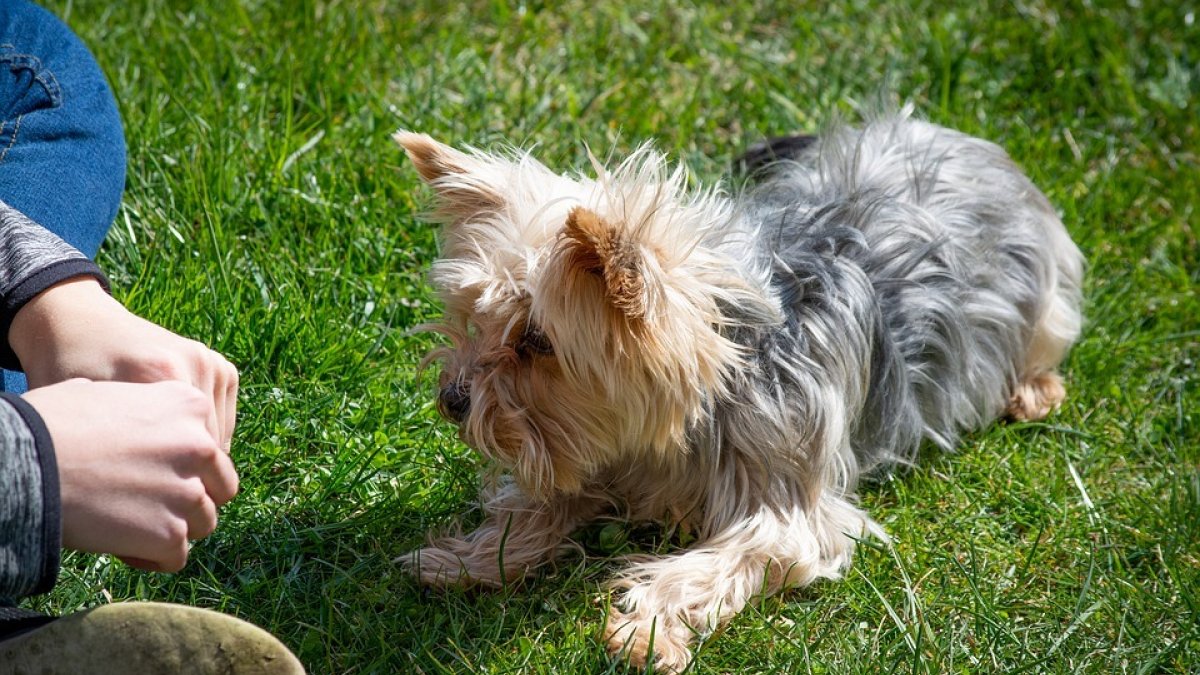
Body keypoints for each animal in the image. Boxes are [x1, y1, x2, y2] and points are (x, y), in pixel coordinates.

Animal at [396, 110, 1089, 667]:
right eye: (475, 317)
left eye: (537, 341)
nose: (452, 400)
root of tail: (956, 135)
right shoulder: (591, 452)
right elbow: (537, 506)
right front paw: (470, 559)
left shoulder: (783, 505)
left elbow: (713, 563)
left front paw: (646, 627)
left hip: (1046, 289)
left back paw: (1034, 391)